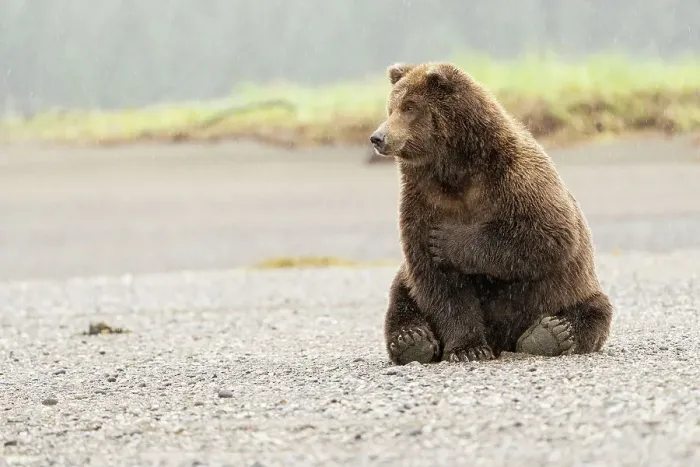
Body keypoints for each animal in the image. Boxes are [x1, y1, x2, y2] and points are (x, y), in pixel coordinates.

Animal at [369, 62, 613, 365]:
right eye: (391, 107)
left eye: (410, 106)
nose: (378, 137)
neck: (454, 171)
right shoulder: (422, 201)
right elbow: (439, 283)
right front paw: (468, 348)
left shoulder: (516, 179)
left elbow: (547, 235)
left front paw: (446, 240)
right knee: (402, 291)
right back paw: (411, 339)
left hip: (572, 287)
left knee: (595, 310)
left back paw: (552, 333)